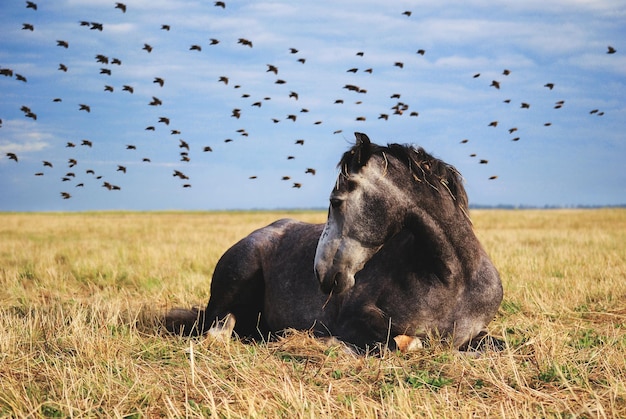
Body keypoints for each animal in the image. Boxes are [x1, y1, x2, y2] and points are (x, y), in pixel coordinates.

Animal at [163, 133, 500, 352]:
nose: (321, 273)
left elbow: (494, 343)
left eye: (336, 202)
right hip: (237, 277)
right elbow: (400, 343)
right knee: (216, 326)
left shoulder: (478, 332)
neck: (453, 279)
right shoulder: (355, 319)